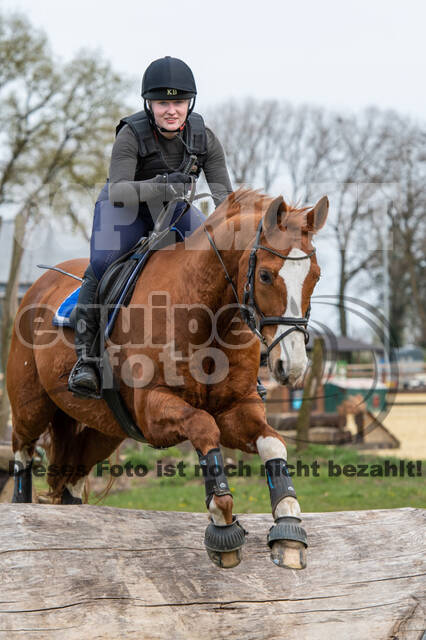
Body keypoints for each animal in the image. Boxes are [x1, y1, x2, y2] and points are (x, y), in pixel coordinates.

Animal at [7, 189, 330, 568]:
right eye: (265, 276)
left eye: (316, 276)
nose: (291, 366)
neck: (208, 317)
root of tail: (36, 288)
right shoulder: (153, 409)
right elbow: (204, 427)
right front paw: (222, 525)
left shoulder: (237, 408)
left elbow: (273, 443)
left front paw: (289, 527)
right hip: (30, 407)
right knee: (22, 454)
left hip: (104, 430)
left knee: (73, 478)